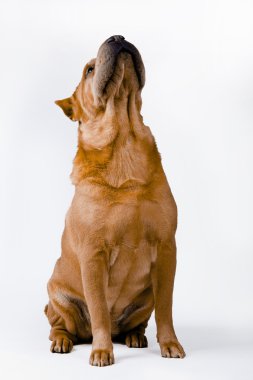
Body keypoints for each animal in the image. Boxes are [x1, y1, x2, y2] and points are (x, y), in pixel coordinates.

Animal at [44, 35, 185, 366]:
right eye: (88, 69)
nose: (118, 37)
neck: (123, 142)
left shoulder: (166, 248)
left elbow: (166, 308)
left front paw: (169, 343)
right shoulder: (94, 255)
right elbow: (98, 310)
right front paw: (101, 350)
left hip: (145, 296)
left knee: (139, 321)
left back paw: (134, 336)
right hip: (58, 296)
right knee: (60, 325)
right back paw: (63, 341)